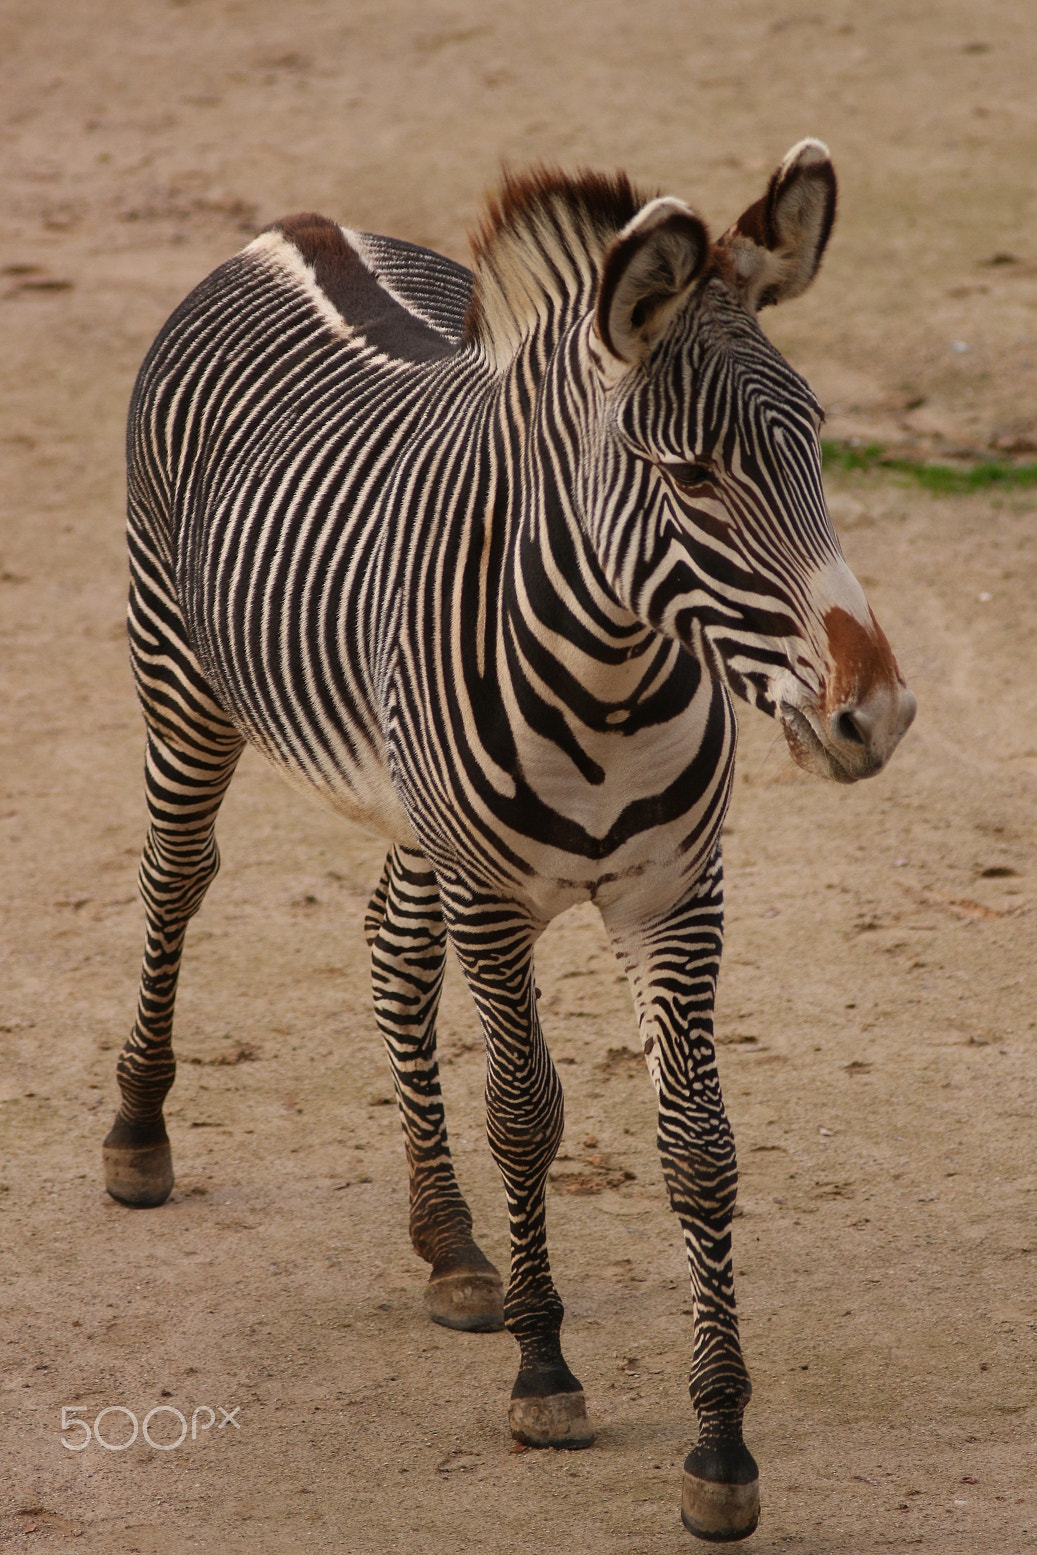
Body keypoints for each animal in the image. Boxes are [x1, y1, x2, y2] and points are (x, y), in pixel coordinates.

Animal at [105, 143, 914, 1542]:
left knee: (388, 949)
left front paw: (719, 1444)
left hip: (407, 806)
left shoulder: (674, 895)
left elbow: (699, 1148)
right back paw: (141, 1133)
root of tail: (295, 230)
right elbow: (527, 1113)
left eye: (814, 443)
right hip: (181, 679)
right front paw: (545, 1372)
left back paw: (448, 1240)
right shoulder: (492, 894)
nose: (873, 716)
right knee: (176, 879)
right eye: (690, 475)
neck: (614, 670)